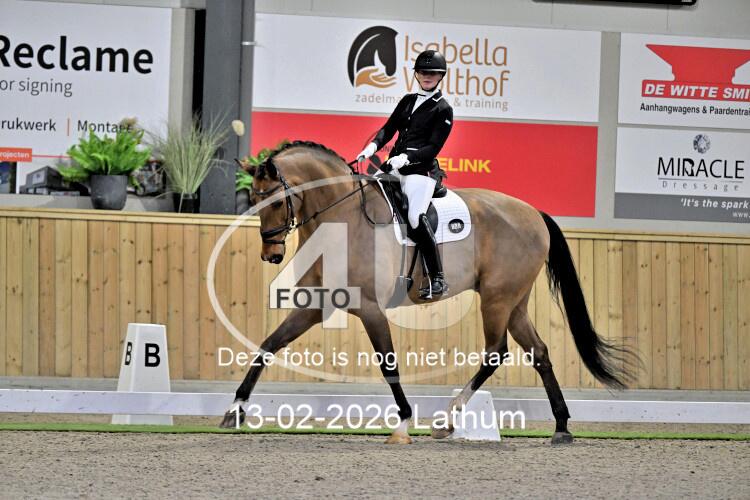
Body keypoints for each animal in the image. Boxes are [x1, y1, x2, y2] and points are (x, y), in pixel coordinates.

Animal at [219, 141, 634, 444]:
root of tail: (534, 213)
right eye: (253, 200)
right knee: (539, 352)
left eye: (275, 201)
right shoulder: (315, 305)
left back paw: (447, 420)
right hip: (514, 301)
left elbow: (388, 365)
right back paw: (561, 427)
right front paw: (235, 408)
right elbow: (268, 345)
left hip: (497, 298)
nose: (271, 255)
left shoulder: (370, 308)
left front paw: (403, 423)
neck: (342, 218)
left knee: (496, 352)